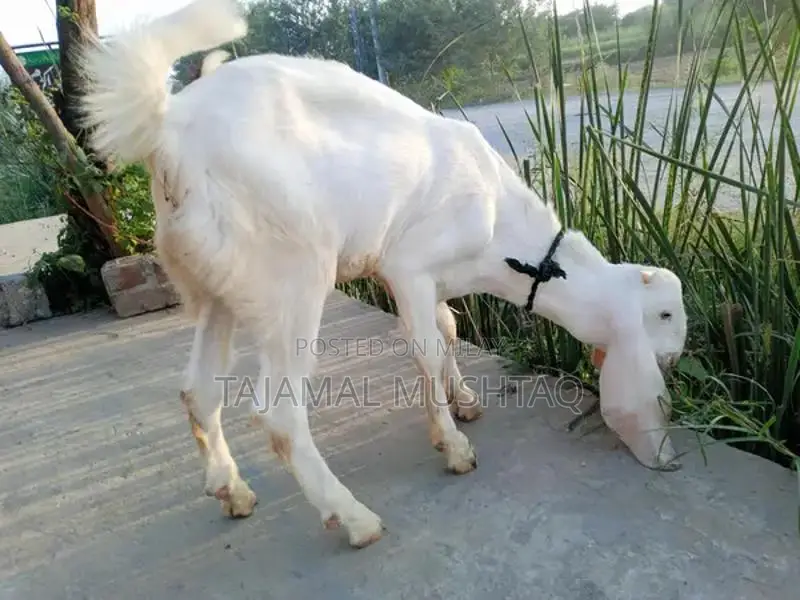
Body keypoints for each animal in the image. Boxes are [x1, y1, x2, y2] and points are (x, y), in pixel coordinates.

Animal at [77, 0, 688, 549]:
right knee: (279, 412)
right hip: (289, 277)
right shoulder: (410, 266)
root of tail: (170, 131)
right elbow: (426, 348)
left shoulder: (436, 280)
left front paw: (464, 401)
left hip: (214, 284)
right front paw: (453, 446)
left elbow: (448, 331)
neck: (504, 223)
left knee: (199, 392)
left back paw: (233, 491)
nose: (673, 358)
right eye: (664, 314)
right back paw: (354, 519)